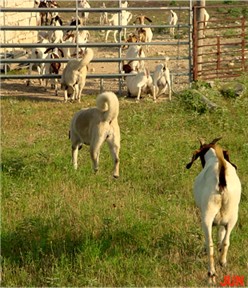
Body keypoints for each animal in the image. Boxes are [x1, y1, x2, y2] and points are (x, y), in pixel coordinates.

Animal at [187, 138, 241, 286]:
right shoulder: (224, 220)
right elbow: (222, 235)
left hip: (207, 216)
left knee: (210, 245)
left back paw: (211, 274)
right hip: (233, 215)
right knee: (226, 241)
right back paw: (222, 261)